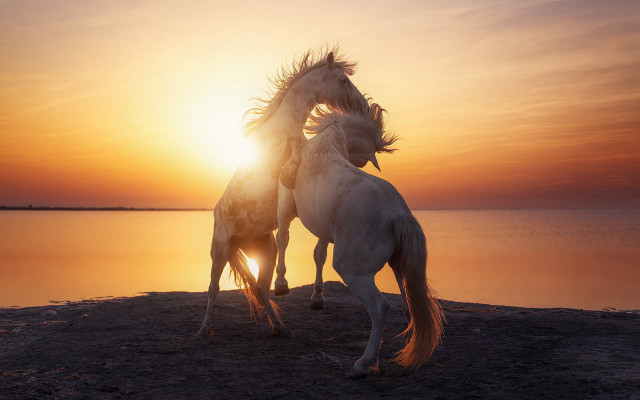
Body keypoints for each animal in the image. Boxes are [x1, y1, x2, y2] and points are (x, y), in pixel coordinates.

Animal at [198, 48, 369, 338]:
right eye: (344, 81)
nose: (362, 105)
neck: (284, 127)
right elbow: (293, 163)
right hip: (219, 250)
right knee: (213, 289)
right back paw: (204, 328)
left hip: (265, 252)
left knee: (260, 289)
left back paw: (279, 326)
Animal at [275, 107, 444, 378]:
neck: (327, 140)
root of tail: (397, 215)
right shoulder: (324, 228)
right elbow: (318, 254)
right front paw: (317, 298)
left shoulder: (284, 206)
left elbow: (283, 238)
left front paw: (281, 283)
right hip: (399, 266)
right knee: (409, 305)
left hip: (353, 272)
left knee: (380, 307)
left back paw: (363, 364)